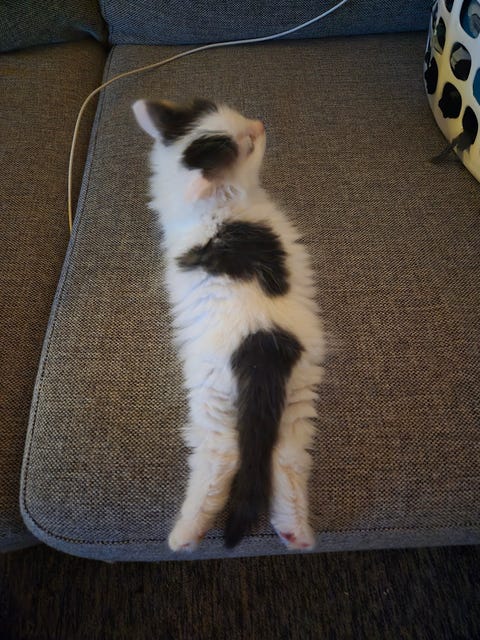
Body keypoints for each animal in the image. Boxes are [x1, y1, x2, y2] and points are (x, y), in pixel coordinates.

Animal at [132, 98, 324, 551]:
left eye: (241, 119)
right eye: (248, 144)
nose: (259, 123)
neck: (219, 214)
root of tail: (261, 343)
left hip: (253, 394)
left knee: (248, 456)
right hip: (269, 394)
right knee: (265, 456)